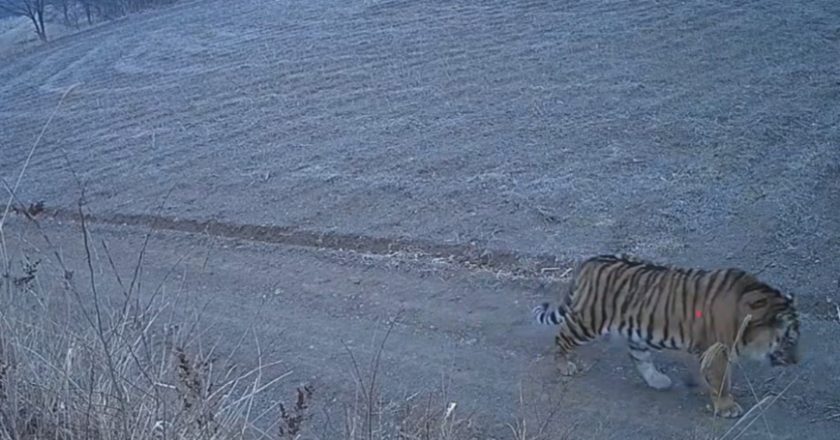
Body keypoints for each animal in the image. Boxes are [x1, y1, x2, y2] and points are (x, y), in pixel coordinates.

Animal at [532, 254, 800, 418]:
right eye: (789, 340)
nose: (796, 361)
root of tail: (590, 261)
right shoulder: (717, 350)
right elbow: (721, 379)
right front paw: (727, 406)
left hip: (635, 331)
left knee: (639, 357)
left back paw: (658, 380)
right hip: (589, 321)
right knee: (562, 336)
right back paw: (564, 365)